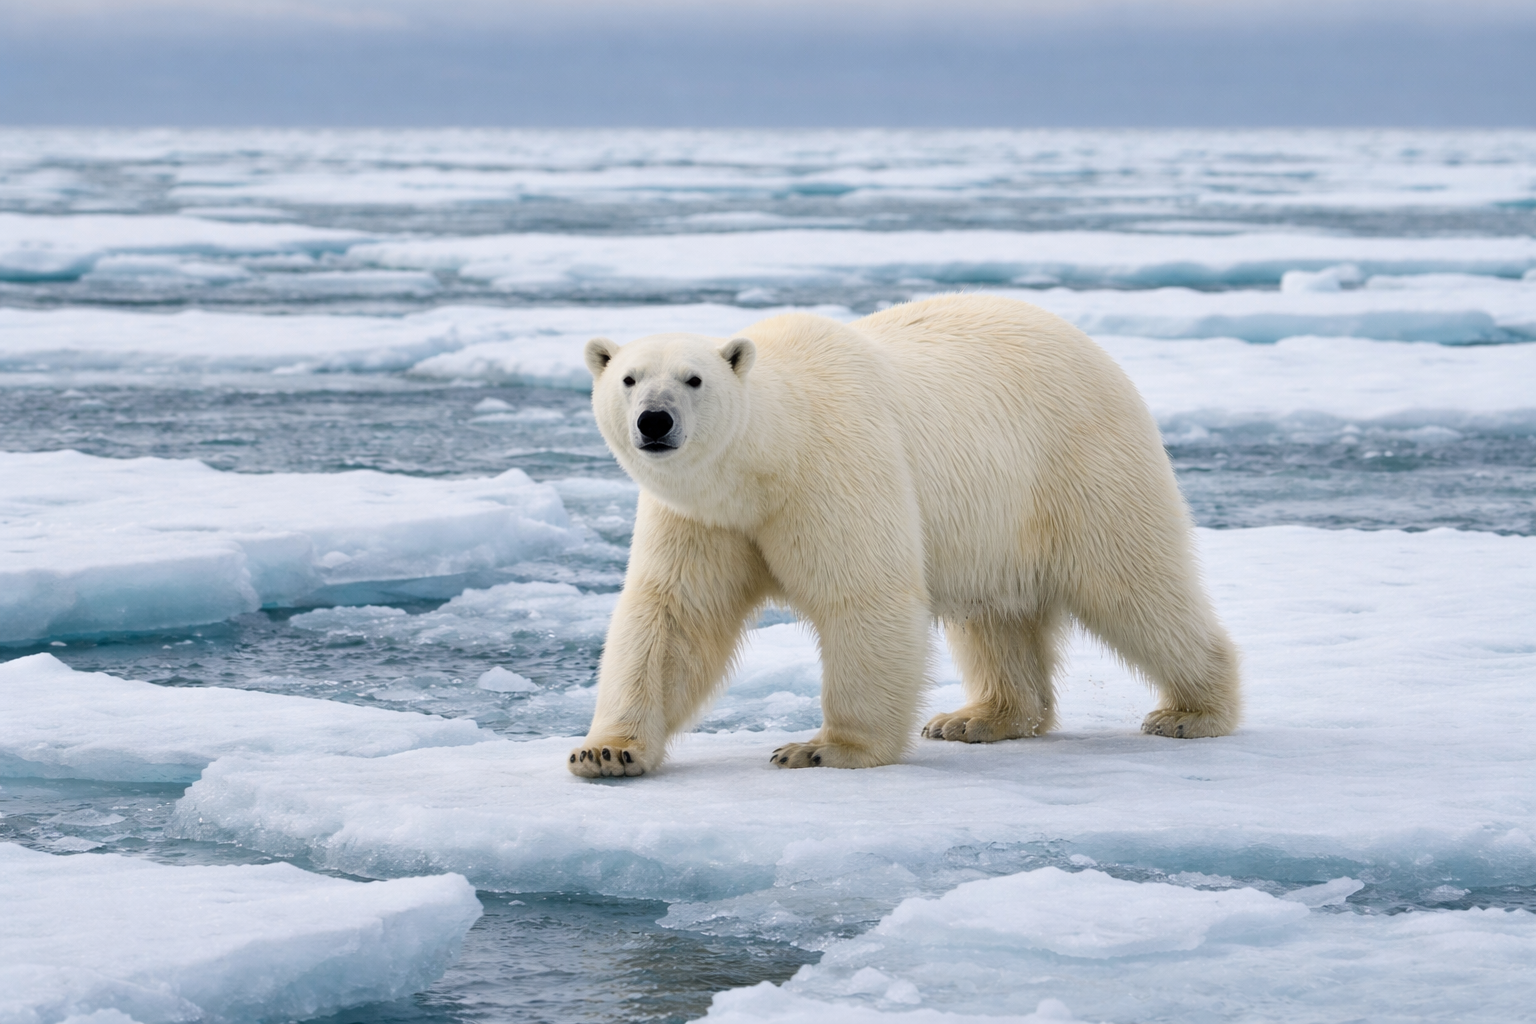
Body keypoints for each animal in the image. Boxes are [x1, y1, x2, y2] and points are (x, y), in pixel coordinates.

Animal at [568, 294, 1240, 778]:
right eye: (629, 378)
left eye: (694, 379)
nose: (655, 421)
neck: (767, 460)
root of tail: (1095, 350)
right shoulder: (703, 518)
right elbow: (674, 615)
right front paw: (605, 752)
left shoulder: (834, 467)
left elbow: (864, 593)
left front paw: (820, 749)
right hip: (995, 524)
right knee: (995, 615)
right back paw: (977, 718)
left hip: (1081, 466)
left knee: (1134, 586)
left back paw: (1192, 711)